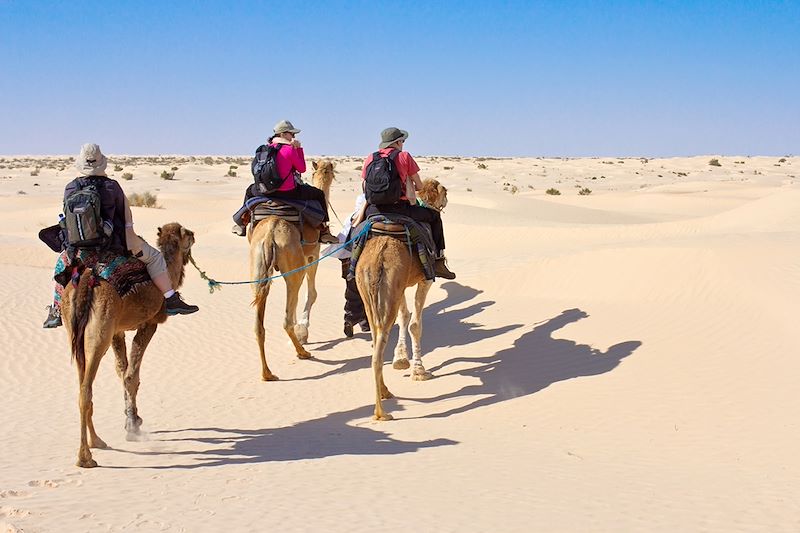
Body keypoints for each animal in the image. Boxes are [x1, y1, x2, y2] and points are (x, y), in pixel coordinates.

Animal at [59, 220, 195, 466]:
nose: (194, 234)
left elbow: (122, 371)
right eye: (187, 234)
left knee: (82, 382)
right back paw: (86, 457)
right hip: (99, 332)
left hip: (75, 332)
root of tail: (85, 282)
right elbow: (132, 375)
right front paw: (133, 426)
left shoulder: (118, 330)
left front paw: (132, 419)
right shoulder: (149, 323)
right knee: (86, 389)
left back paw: (97, 441)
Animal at [252, 156, 336, 380]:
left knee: (259, 324)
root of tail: (270, 234)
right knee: (286, 319)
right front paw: (303, 329)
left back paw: (267, 373)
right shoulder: (313, 255)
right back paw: (302, 352)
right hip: (294, 266)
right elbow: (312, 293)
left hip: (257, 269)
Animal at [356, 179, 450, 420]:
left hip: (370, 291)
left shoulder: (403, 284)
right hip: (389, 291)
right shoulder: (425, 279)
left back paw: (385, 392)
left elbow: (405, 316)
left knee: (375, 337)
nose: (445, 201)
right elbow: (415, 324)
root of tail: (378, 258)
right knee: (379, 346)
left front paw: (401, 359)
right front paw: (419, 371)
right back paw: (381, 412)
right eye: (444, 191)